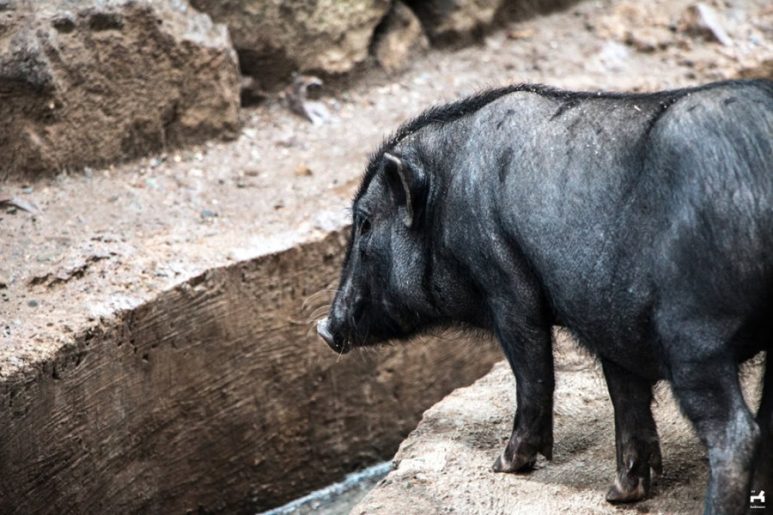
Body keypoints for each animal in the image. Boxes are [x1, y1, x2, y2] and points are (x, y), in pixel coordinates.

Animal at [316, 79, 773, 514]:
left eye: (364, 222)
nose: (323, 328)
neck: (447, 196)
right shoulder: (609, 319)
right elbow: (625, 396)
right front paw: (619, 495)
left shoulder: (506, 282)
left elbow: (532, 371)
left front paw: (504, 465)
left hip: (693, 335)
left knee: (737, 433)